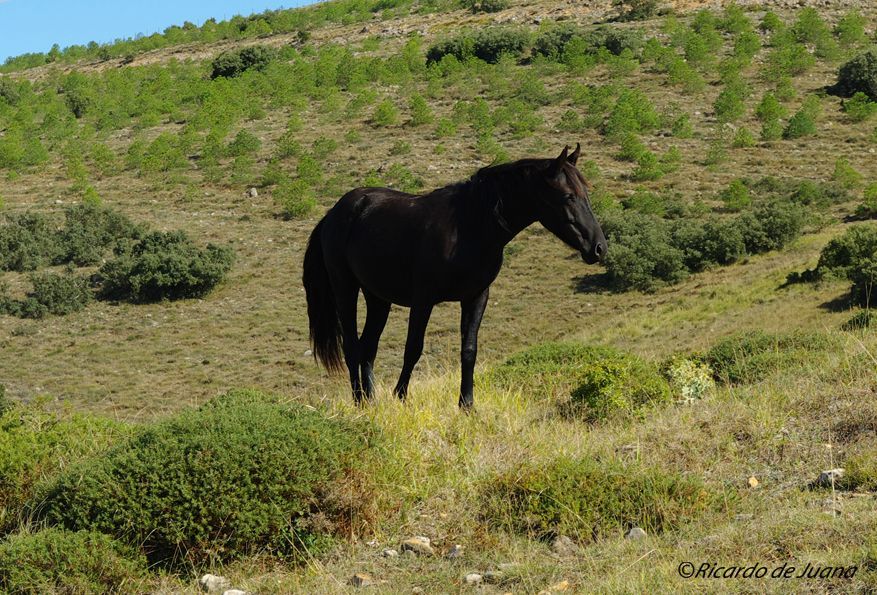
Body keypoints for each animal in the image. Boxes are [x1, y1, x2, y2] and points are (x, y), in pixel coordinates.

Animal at [302, 147, 604, 410]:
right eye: (568, 196)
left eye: (586, 192)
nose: (599, 247)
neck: (471, 226)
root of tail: (334, 213)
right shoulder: (423, 300)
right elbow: (413, 348)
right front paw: (401, 397)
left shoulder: (476, 297)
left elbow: (469, 350)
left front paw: (467, 405)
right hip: (345, 288)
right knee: (353, 347)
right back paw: (360, 402)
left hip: (377, 297)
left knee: (368, 347)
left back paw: (371, 399)